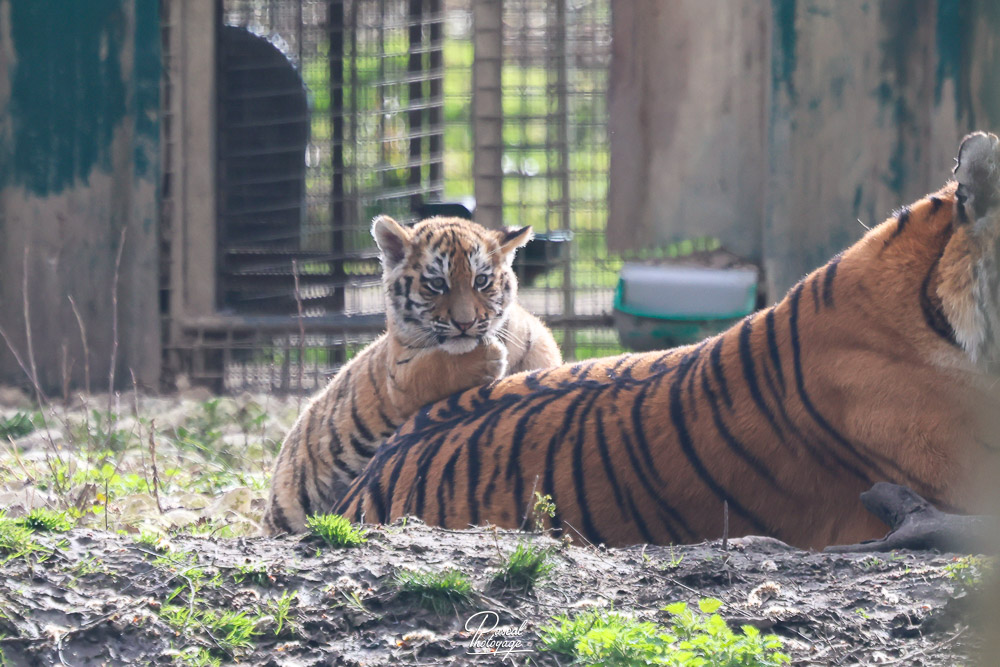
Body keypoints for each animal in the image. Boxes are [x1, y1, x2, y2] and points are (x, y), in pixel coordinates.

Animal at [261, 215, 562, 535]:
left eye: (481, 281)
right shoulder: (400, 375)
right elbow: (437, 369)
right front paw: (488, 355)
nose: (465, 323)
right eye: (437, 284)